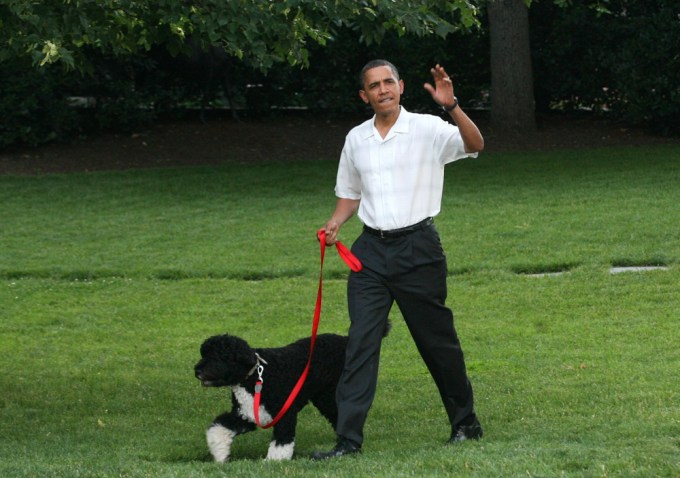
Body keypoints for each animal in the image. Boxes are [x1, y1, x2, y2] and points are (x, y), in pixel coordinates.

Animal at [194, 328, 366, 460]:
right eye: (204, 354)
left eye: (218, 356)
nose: (197, 370)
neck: (256, 376)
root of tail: (344, 340)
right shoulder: (245, 415)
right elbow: (218, 428)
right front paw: (220, 454)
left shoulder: (285, 413)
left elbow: (282, 441)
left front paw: (274, 461)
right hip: (324, 398)